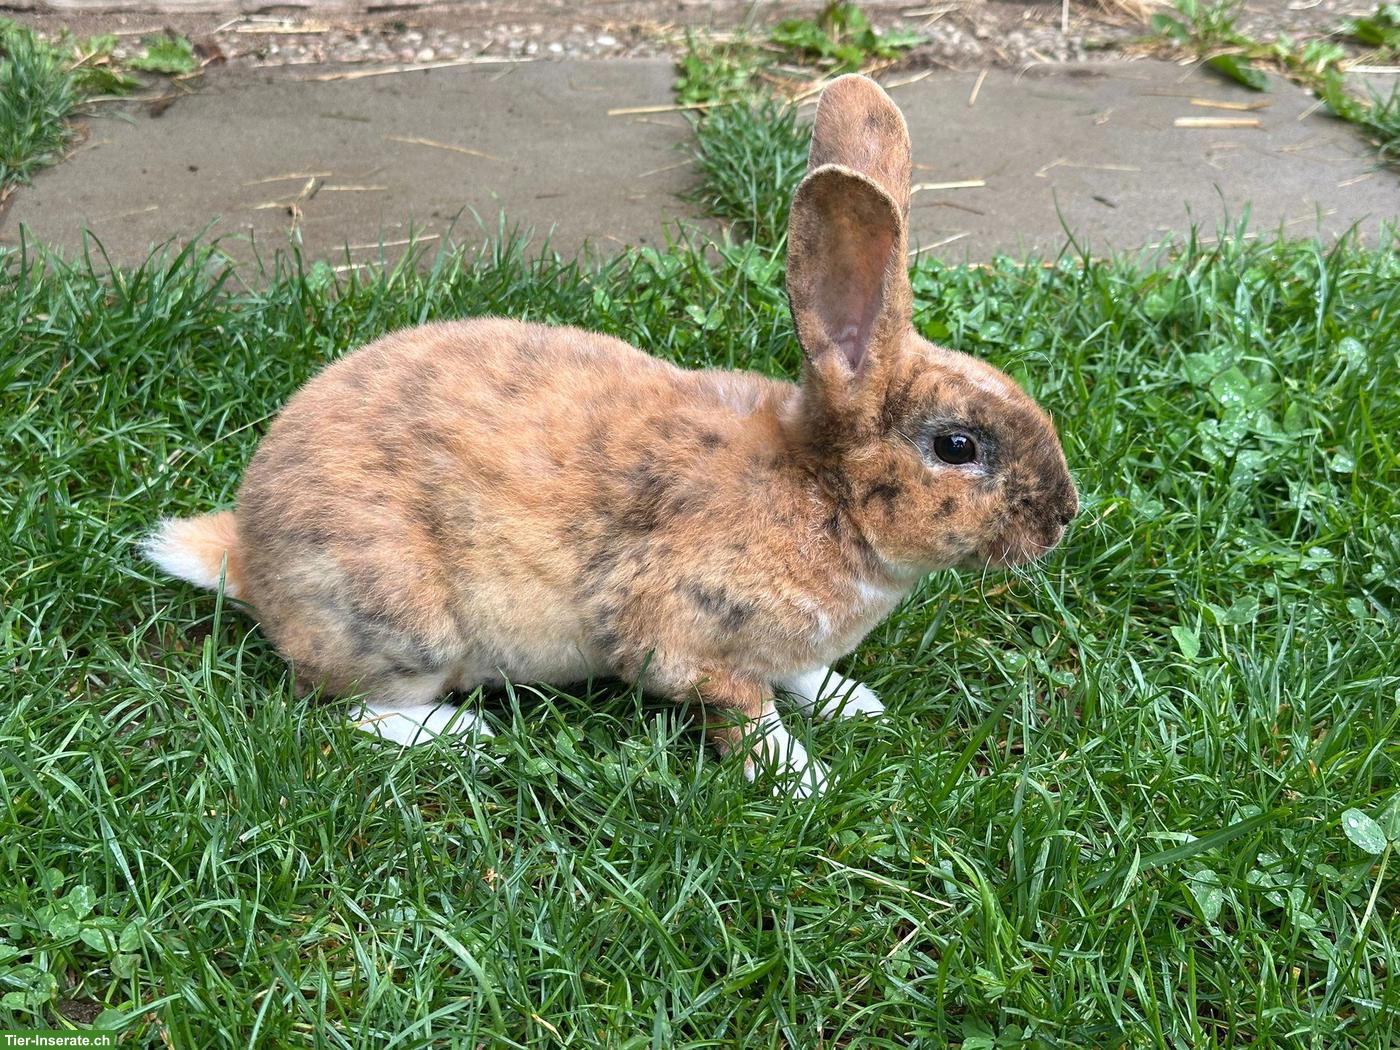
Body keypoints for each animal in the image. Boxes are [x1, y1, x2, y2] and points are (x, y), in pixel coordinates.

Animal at [143, 74, 1078, 797]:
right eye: (957, 447)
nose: (1065, 516)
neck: (825, 494)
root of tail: (248, 557)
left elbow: (801, 673)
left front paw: (855, 702)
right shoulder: (688, 640)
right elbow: (747, 711)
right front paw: (802, 781)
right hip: (403, 620)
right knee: (348, 710)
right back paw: (462, 734)